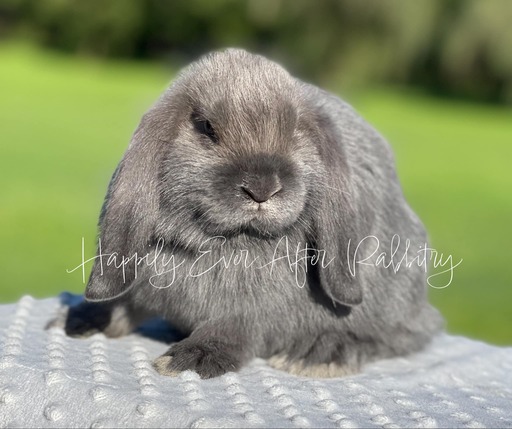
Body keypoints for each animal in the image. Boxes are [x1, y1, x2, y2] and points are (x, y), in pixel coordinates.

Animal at [62, 48, 442, 378]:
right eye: (206, 127)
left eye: (294, 129)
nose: (262, 189)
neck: (219, 243)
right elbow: (123, 304)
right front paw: (81, 320)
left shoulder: (261, 306)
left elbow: (238, 325)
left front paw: (190, 359)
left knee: (398, 336)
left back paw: (322, 353)